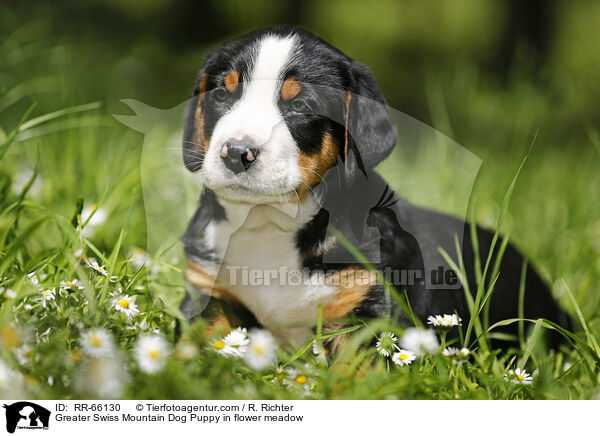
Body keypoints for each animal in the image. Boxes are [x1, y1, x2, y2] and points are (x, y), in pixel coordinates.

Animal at [178, 26, 568, 348]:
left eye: (300, 105)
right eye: (221, 96)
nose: (235, 152)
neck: (268, 225)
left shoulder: (368, 308)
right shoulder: (207, 293)